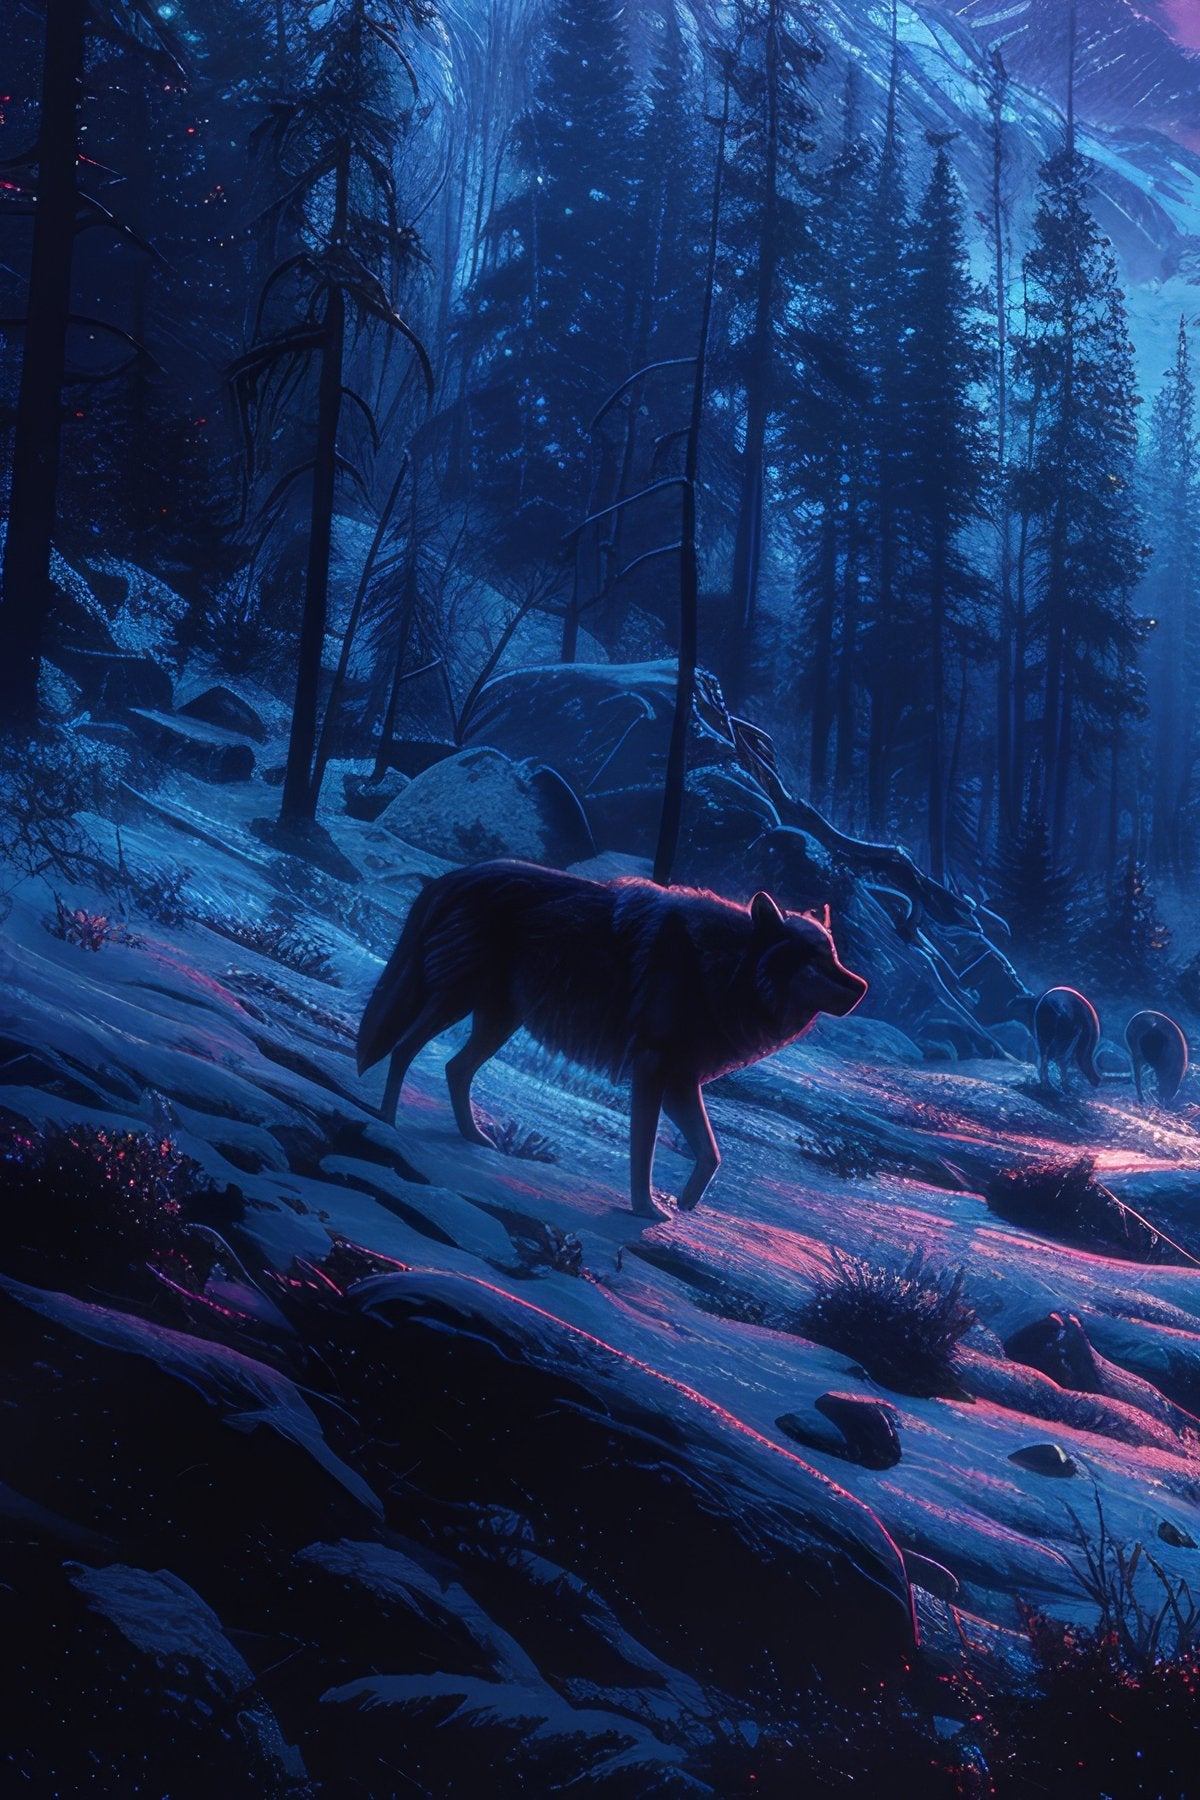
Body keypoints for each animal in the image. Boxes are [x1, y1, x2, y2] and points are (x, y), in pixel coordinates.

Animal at [356, 859, 868, 1218]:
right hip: (458, 1001)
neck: (724, 966)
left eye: (834, 955)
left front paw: (685, 1207)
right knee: (403, 1050)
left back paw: (475, 1137)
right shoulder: (653, 1068)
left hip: (498, 1020)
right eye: (815, 959)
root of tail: (454, 876)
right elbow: (643, 1151)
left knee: (453, 1067)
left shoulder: (681, 1080)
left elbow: (711, 1154)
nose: (861, 988)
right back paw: (387, 1122)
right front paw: (646, 1209)